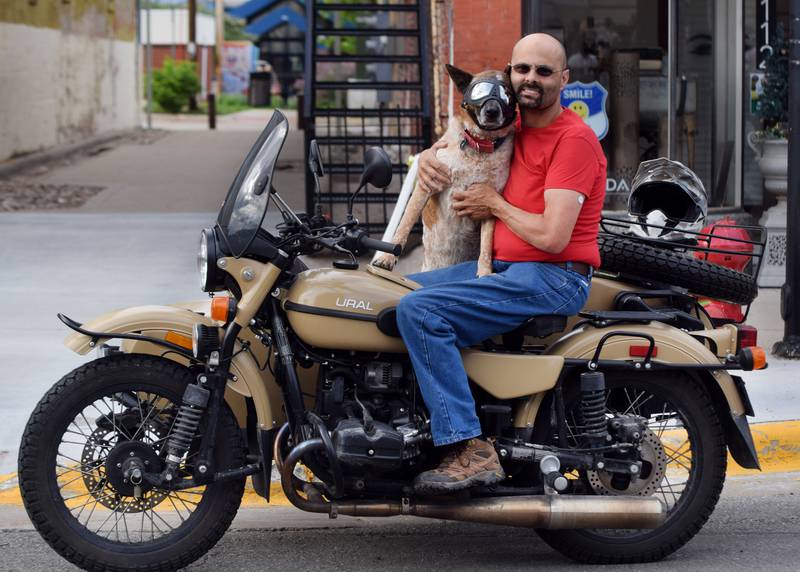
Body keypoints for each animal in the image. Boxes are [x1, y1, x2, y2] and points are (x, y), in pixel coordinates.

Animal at [372, 65, 516, 278]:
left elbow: (487, 247)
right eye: (479, 91)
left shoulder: (489, 203)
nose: (491, 111)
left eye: (507, 94)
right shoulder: (425, 186)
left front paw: (484, 272)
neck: (478, 146)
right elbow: (404, 224)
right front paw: (386, 258)